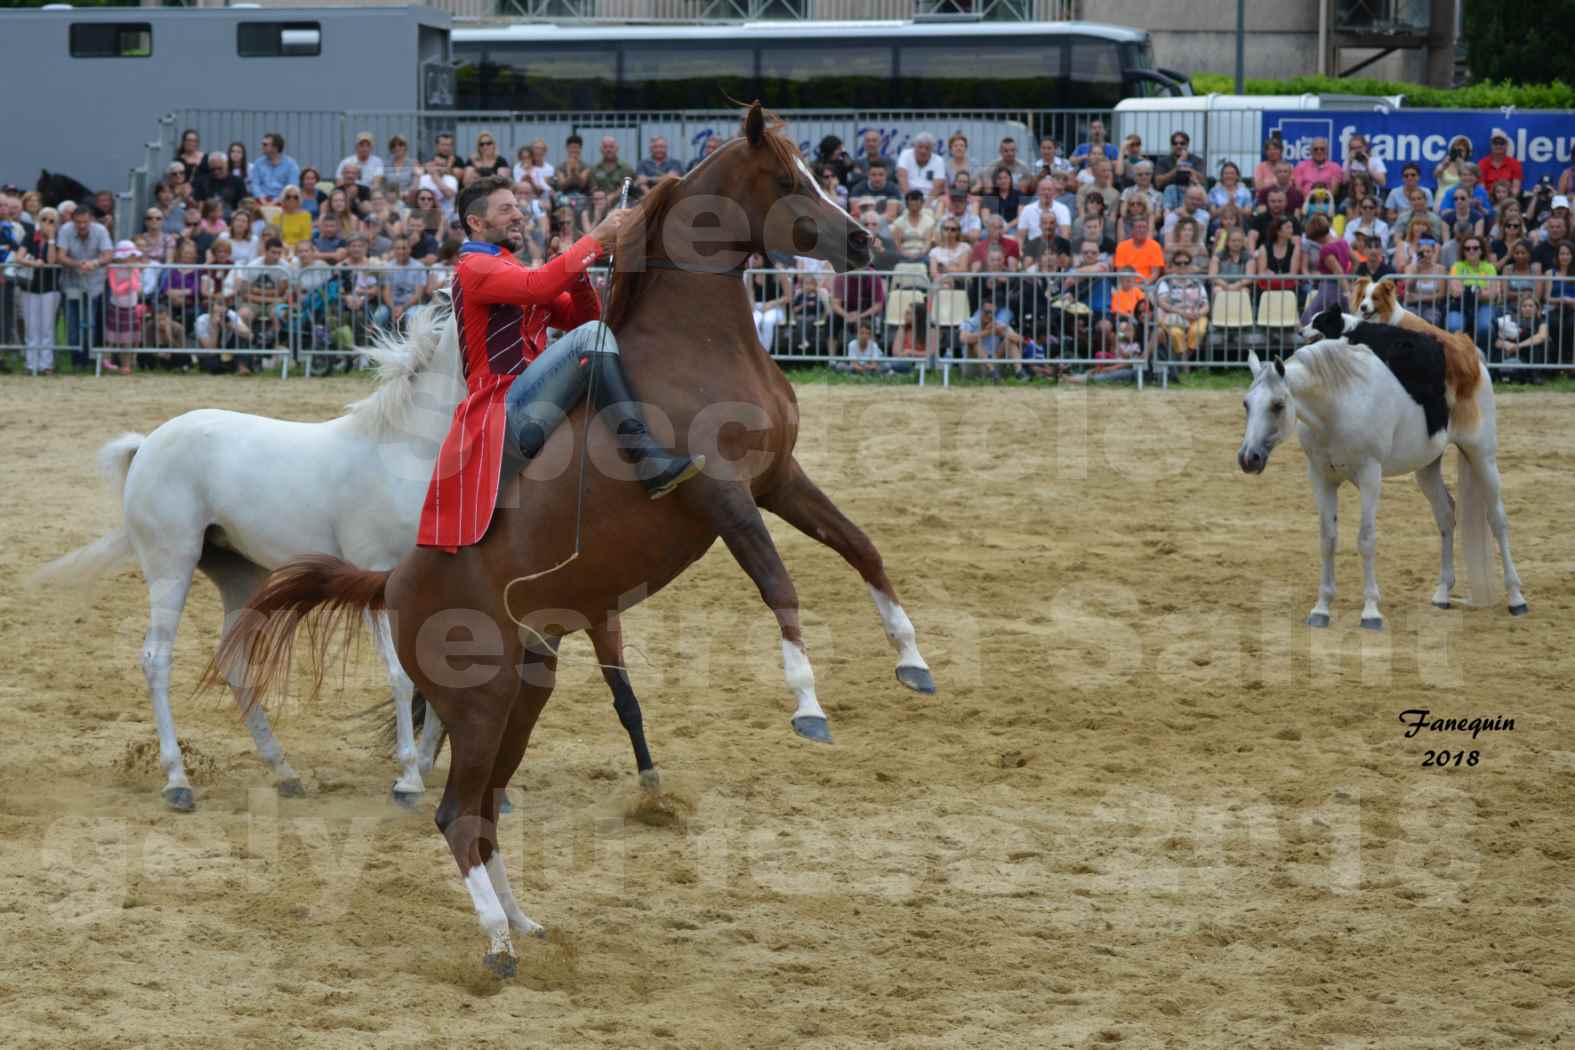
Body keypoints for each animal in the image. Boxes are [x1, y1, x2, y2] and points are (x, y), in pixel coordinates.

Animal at [32, 305, 459, 812]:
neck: (404, 452)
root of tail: (147, 444)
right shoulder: (375, 576)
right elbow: (400, 675)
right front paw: (408, 779)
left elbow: (438, 671)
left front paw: (428, 767)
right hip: (170, 565)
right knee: (156, 658)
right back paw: (178, 781)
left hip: (240, 575)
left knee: (232, 662)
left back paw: (285, 772)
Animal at [1241, 303, 1524, 632]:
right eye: (1246, 404)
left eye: (1277, 405)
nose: (1248, 458)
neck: (1338, 404)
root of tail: (1472, 359)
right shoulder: (1321, 477)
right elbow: (1328, 539)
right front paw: (1322, 607)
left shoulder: (1369, 476)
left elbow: (1366, 539)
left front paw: (1371, 611)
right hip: (1427, 467)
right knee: (1445, 516)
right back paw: (1442, 591)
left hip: (1482, 457)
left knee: (1497, 520)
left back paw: (1516, 597)